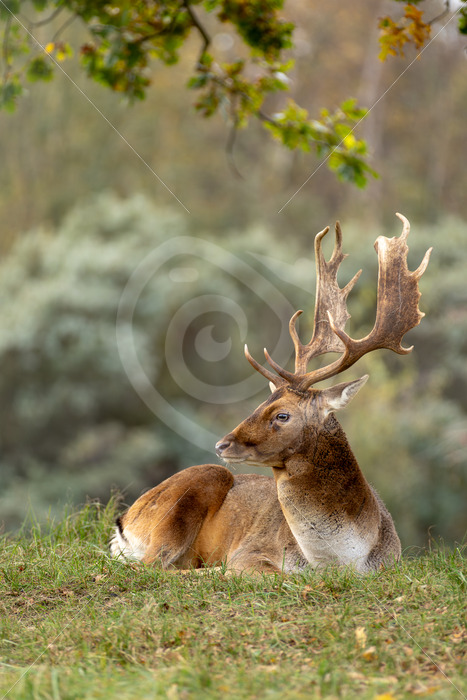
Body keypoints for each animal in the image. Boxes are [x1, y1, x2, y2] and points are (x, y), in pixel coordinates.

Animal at [110, 213, 431, 574]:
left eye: (282, 414)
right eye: (261, 403)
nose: (222, 444)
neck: (339, 560)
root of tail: (122, 523)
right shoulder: (252, 551)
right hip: (191, 493)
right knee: (150, 565)